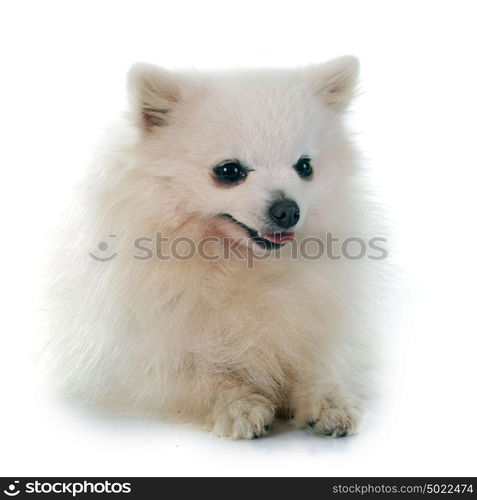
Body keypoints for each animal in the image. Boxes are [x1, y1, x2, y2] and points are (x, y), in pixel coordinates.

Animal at [46, 57, 386, 438]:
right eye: (228, 171)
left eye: (305, 166)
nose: (287, 210)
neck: (236, 262)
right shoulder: (138, 361)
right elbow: (201, 374)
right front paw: (240, 404)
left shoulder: (310, 325)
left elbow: (316, 365)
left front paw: (329, 401)